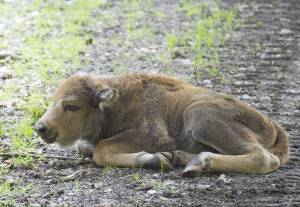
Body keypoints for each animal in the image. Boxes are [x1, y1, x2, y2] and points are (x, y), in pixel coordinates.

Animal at [35, 73, 290, 176]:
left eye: (72, 106)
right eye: (53, 101)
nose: (41, 127)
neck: (117, 103)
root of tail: (274, 127)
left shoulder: (153, 135)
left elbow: (101, 150)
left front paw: (157, 159)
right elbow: (85, 146)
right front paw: (164, 158)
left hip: (199, 116)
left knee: (264, 158)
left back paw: (197, 163)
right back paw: (183, 159)